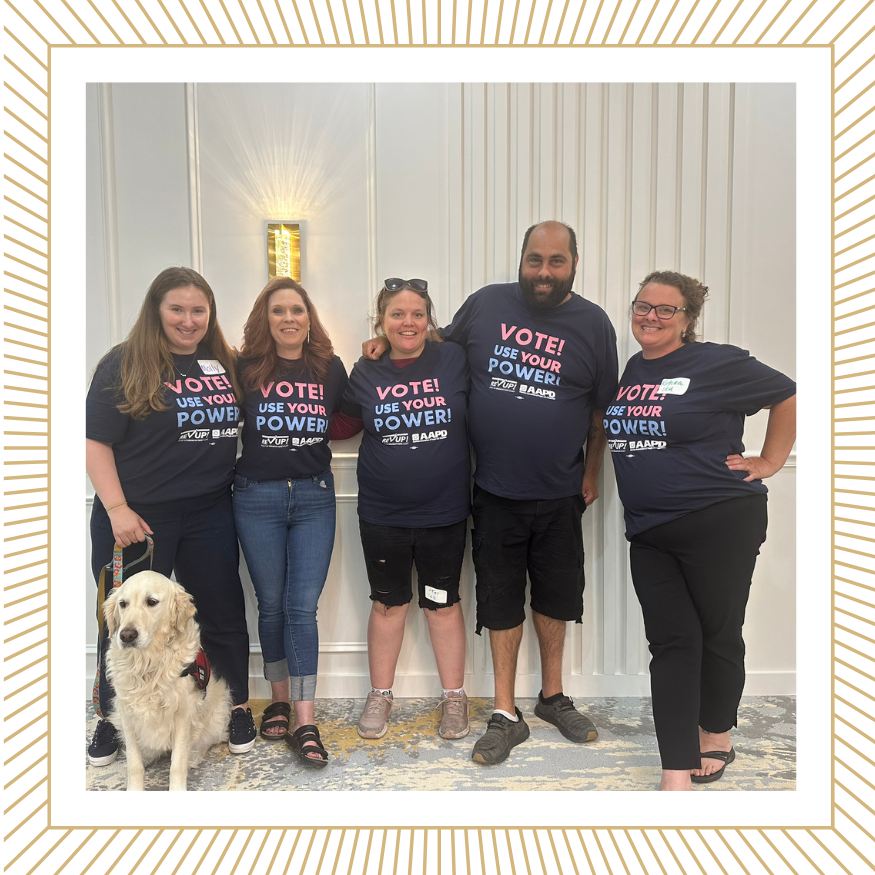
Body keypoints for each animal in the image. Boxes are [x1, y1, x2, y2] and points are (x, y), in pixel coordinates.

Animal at [102, 572, 231, 792]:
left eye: (151, 602)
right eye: (123, 604)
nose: (126, 635)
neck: (147, 663)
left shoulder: (183, 714)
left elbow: (176, 764)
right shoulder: (127, 713)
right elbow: (134, 763)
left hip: (217, 716)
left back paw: (193, 756)